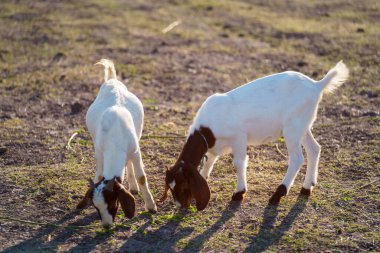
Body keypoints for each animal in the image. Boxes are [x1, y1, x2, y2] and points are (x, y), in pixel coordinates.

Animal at [77, 59, 156, 227]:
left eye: (113, 203)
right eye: (96, 207)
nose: (106, 226)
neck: (115, 135)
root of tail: (112, 80)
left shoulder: (135, 150)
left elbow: (141, 177)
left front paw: (151, 206)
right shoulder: (99, 151)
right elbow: (100, 174)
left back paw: (133, 187)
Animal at [159, 60, 348, 210]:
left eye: (183, 186)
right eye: (171, 187)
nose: (180, 206)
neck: (207, 130)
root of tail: (316, 85)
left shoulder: (239, 138)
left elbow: (239, 163)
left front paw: (239, 193)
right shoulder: (215, 146)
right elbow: (210, 161)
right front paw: (205, 177)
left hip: (292, 129)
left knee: (297, 158)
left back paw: (278, 194)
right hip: (303, 125)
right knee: (314, 149)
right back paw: (306, 188)